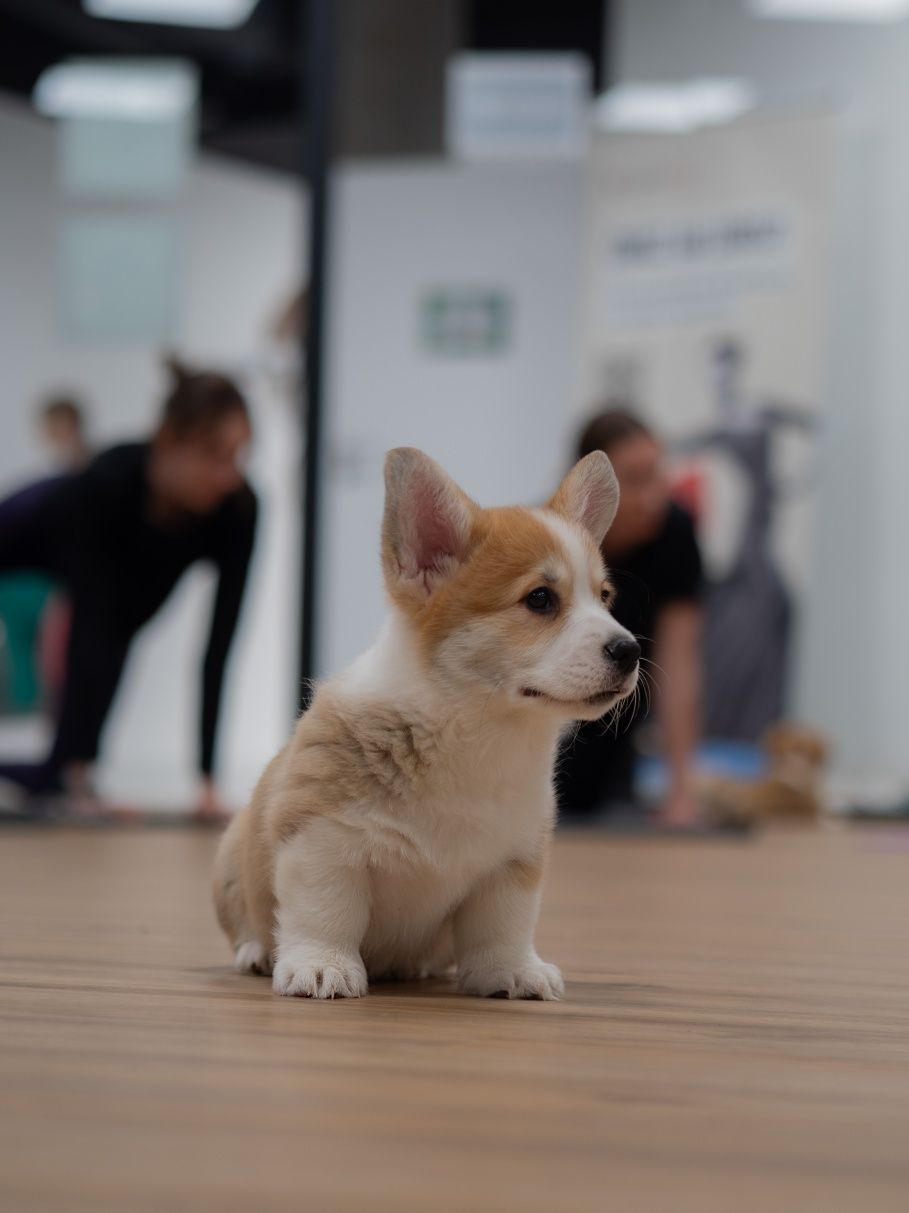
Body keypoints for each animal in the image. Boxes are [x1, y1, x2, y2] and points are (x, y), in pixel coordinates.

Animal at [212, 451, 635, 999]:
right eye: (541, 599)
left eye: (604, 597)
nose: (630, 651)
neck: (475, 730)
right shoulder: (321, 840)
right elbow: (325, 913)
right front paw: (321, 967)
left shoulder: (513, 863)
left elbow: (505, 925)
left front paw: (513, 972)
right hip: (229, 854)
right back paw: (257, 952)